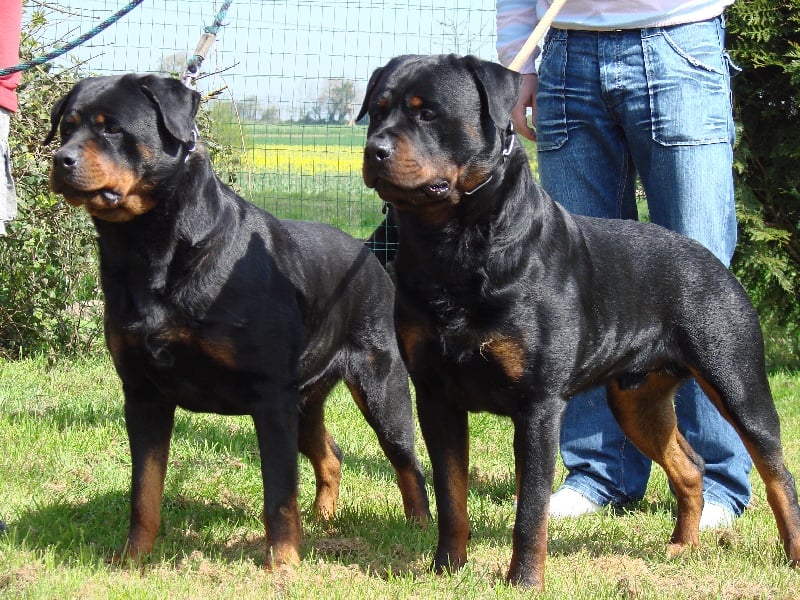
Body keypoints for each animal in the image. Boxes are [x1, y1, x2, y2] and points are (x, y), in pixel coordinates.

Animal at [45, 74, 432, 568]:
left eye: (111, 127)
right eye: (66, 127)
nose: (61, 159)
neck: (150, 250)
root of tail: (370, 256)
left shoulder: (270, 397)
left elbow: (279, 495)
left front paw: (283, 565)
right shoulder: (143, 393)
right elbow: (144, 489)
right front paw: (132, 557)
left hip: (380, 385)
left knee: (407, 461)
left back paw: (419, 527)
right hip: (306, 399)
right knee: (331, 455)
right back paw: (325, 519)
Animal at [358, 54, 800, 588]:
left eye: (428, 114)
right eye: (377, 111)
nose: (374, 150)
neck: (454, 245)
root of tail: (712, 260)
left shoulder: (538, 406)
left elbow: (530, 509)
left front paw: (524, 582)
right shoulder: (435, 396)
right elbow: (451, 497)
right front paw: (447, 568)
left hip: (737, 379)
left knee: (777, 472)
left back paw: (792, 553)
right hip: (636, 400)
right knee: (689, 466)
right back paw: (682, 545)